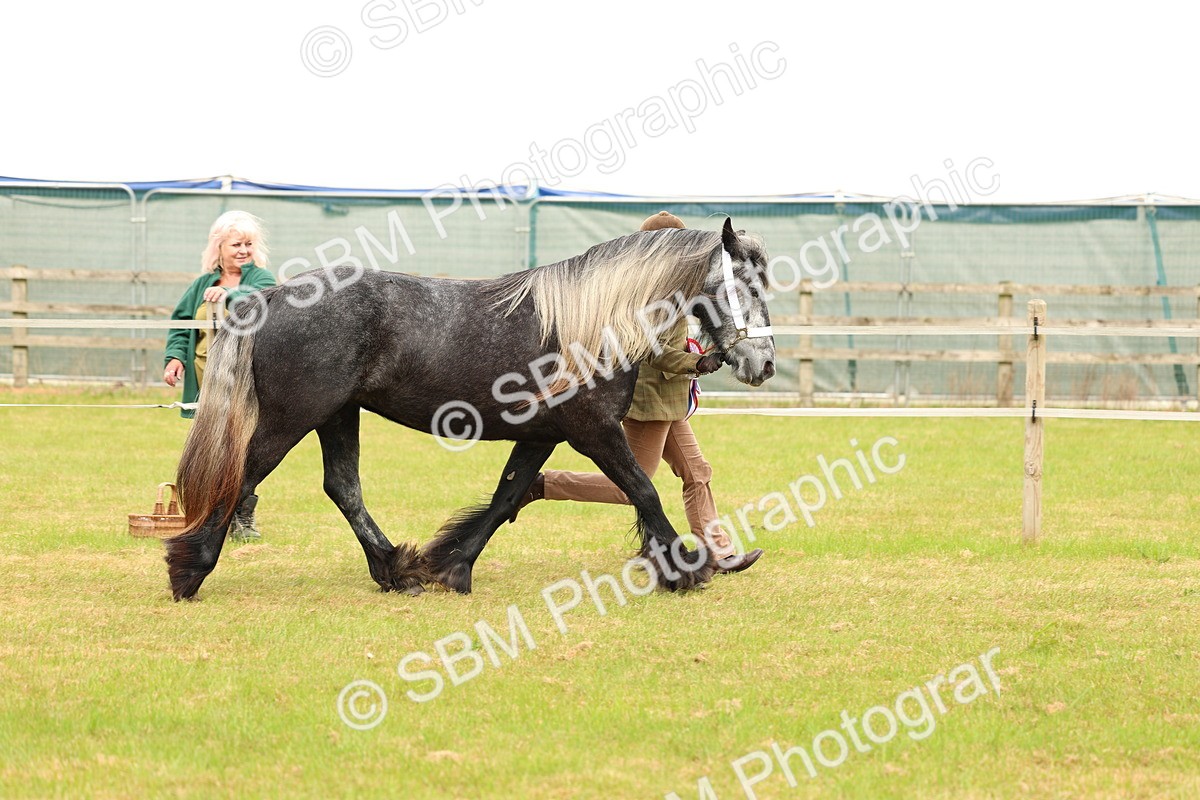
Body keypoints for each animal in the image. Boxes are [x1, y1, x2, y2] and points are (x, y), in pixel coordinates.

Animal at [164, 218, 776, 600]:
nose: (763, 363)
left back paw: (397, 571)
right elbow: (644, 490)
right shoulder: (595, 432)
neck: (588, 323)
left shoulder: (542, 435)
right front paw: (685, 570)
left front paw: (451, 566)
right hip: (293, 418)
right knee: (242, 477)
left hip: (338, 416)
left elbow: (507, 496)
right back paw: (189, 570)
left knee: (342, 487)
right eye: (745, 287)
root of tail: (268, 298)